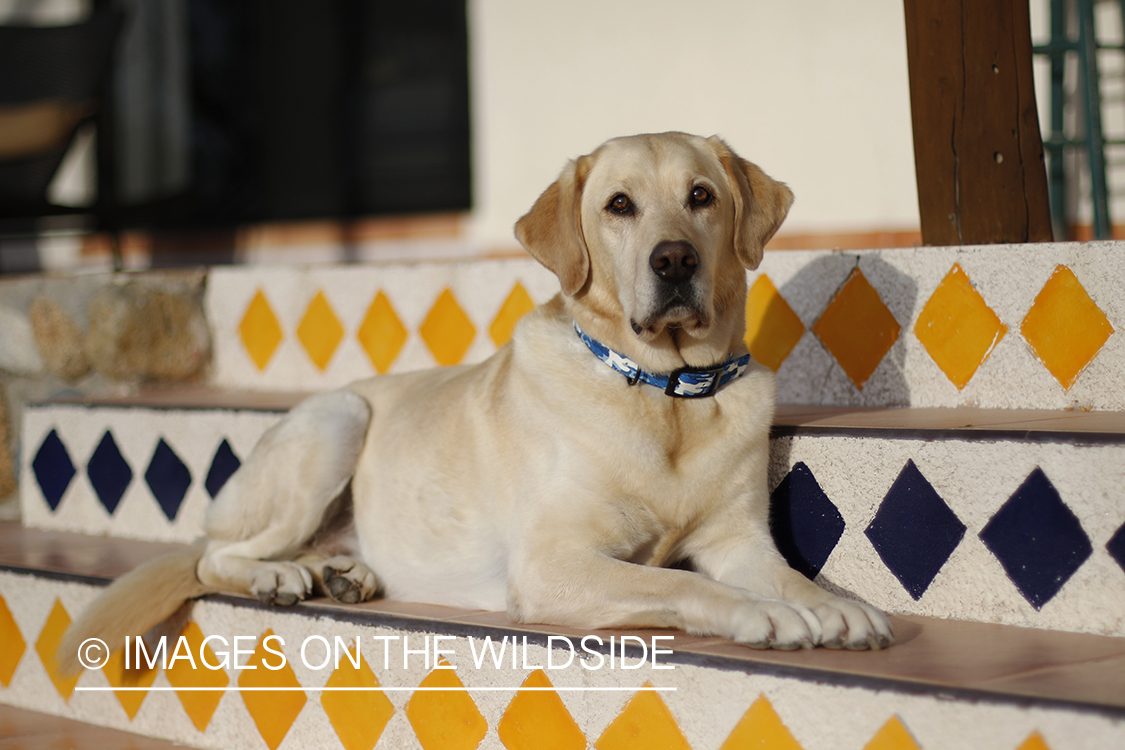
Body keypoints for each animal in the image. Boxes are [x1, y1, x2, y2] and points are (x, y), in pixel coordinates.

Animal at [61, 130, 891, 674]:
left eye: (701, 197)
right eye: (619, 205)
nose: (675, 259)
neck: (667, 395)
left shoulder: (739, 541)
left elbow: (787, 573)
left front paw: (833, 604)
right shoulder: (553, 562)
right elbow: (678, 581)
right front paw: (765, 613)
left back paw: (344, 571)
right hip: (337, 419)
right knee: (213, 555)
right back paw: (280, 576)